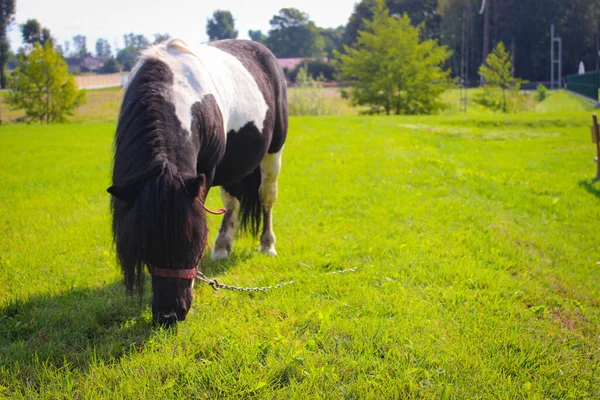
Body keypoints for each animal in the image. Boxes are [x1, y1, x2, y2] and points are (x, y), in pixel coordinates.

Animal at [108, 39, 288, 326]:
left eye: (191, 242)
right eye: (146, 245)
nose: (169, 315)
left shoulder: (205, 173)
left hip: (274, 150)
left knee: (267, 196)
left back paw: (267, 244)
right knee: (232, 203)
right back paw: (223, 247)